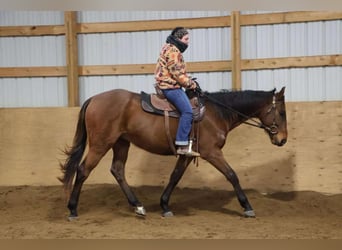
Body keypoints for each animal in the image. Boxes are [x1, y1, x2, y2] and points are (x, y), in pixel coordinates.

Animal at [59, 87, 288, 220]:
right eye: (282, 112)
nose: (283, 139)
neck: (216, 113)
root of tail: (93, 99)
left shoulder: (186, 154)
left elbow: (175, 177)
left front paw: (164, 205)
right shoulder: (212, 152)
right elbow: (232, 175)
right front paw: (247, 206)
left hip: (121, 143)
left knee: (117, 170)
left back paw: (138, 206)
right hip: (101, 144)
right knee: (83, 170)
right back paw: (72, 209)